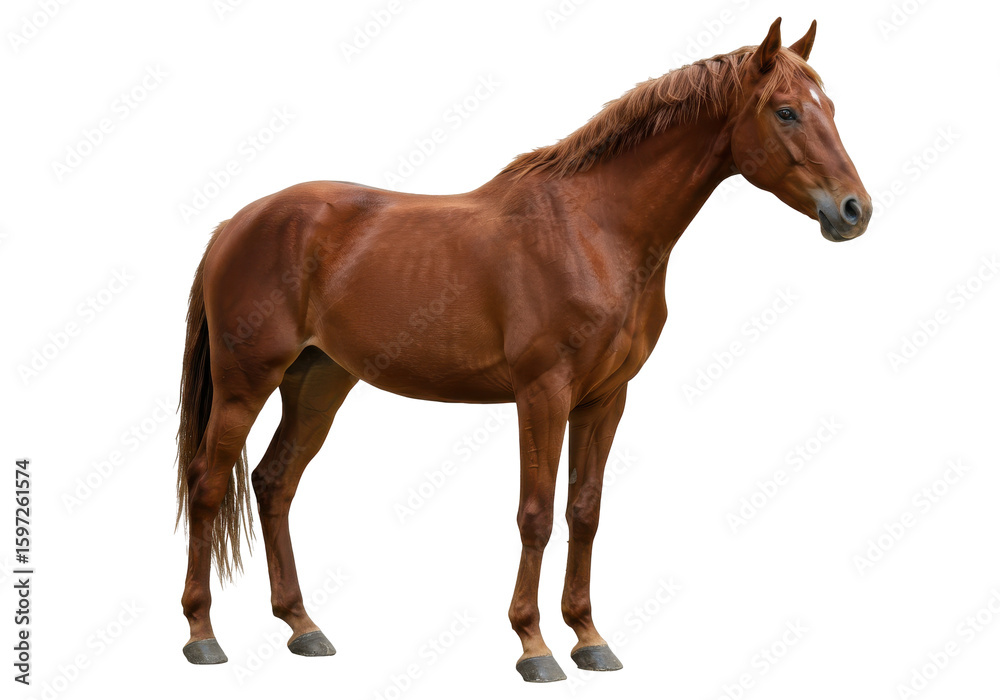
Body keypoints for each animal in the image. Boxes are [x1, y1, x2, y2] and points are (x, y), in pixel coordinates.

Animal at [175, 18, 871, 682]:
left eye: (832, 108)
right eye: (786, 111)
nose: (854, 211)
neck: (593, 230)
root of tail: (236, 224)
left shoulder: (605, 399)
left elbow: (584, 512)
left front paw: (589, 638)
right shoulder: (543, 393)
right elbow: (535, 514)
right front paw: (533, 646)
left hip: (318, 383)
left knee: (274, 483)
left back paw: (303, 626)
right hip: (246, 383)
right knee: (208, 482)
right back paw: (202, 636)